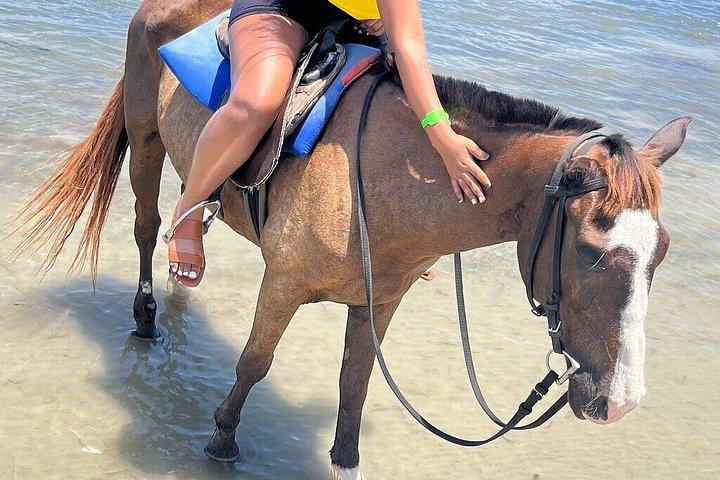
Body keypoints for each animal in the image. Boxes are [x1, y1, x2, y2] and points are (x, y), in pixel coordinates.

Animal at [13, 0, 690, 478]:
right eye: (591, 251)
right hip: (146, 137)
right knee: (147, 226)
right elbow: (255, 361)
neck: (386, 178)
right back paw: (148, 316)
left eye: (659, 254)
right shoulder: (283, 283)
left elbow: (353, 386)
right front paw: (222, 439)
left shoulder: (379, 302)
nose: (621, 401)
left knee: (190, 211)